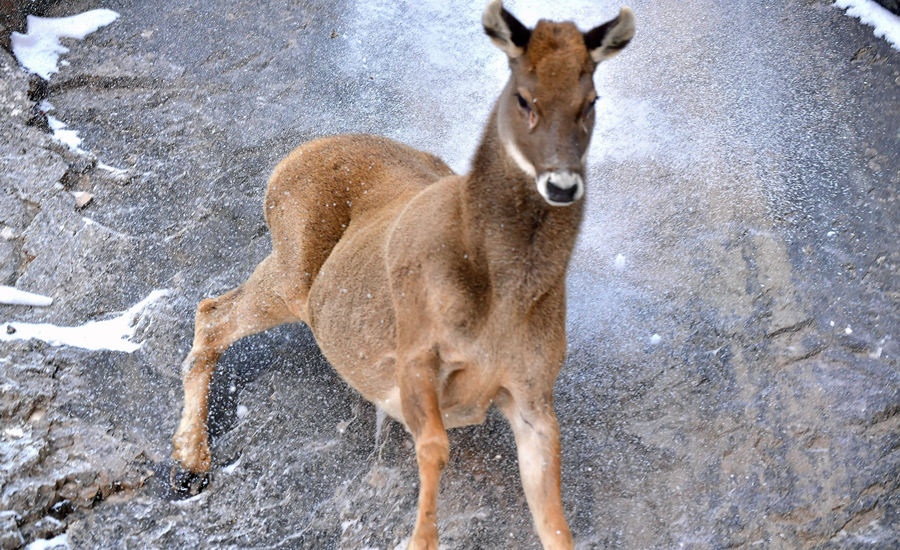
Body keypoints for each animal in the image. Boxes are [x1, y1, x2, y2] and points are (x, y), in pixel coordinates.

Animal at [169, 2, 632, 548]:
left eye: (591, 99)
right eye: (523, 96)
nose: (561, 182)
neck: (497, 305)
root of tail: (289, 161)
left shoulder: (533, 392)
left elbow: (553, 518)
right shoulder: (416, 358)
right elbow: (433, 448)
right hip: (290, 272)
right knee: (213, 313)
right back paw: (189, 468)